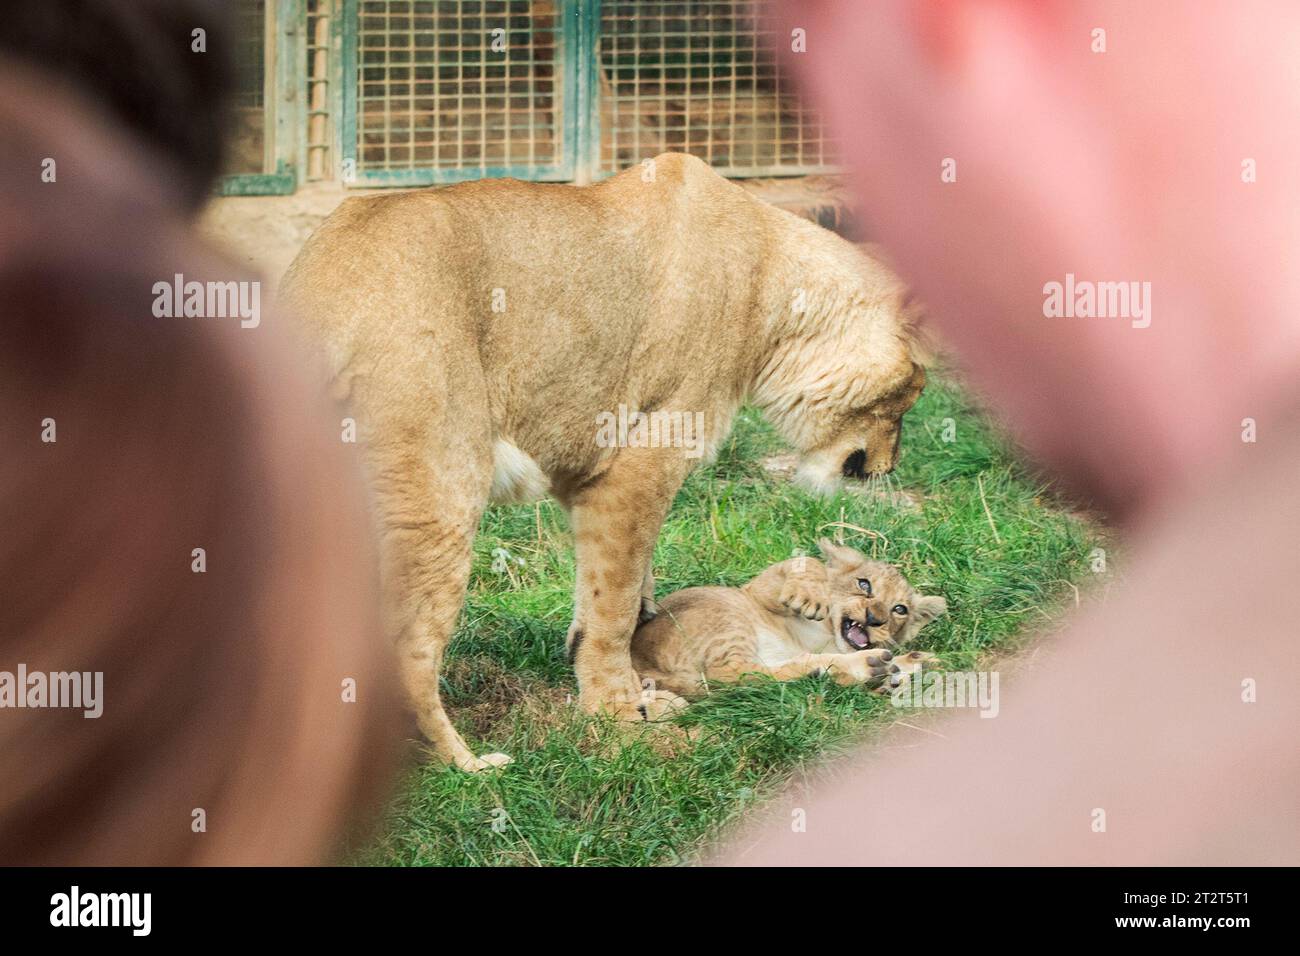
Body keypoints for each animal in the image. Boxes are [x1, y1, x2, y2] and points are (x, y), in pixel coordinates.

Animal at [632, 539, 946, 700]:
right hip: (728, 615)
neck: (829, 635)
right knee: (729, 676)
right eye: (864, 584)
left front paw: (916, 662)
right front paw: (810, 597)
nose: (875, 618)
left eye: (899, 609)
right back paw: (864, 667)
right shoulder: (757, 590)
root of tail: (640, 663)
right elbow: (808, 562)